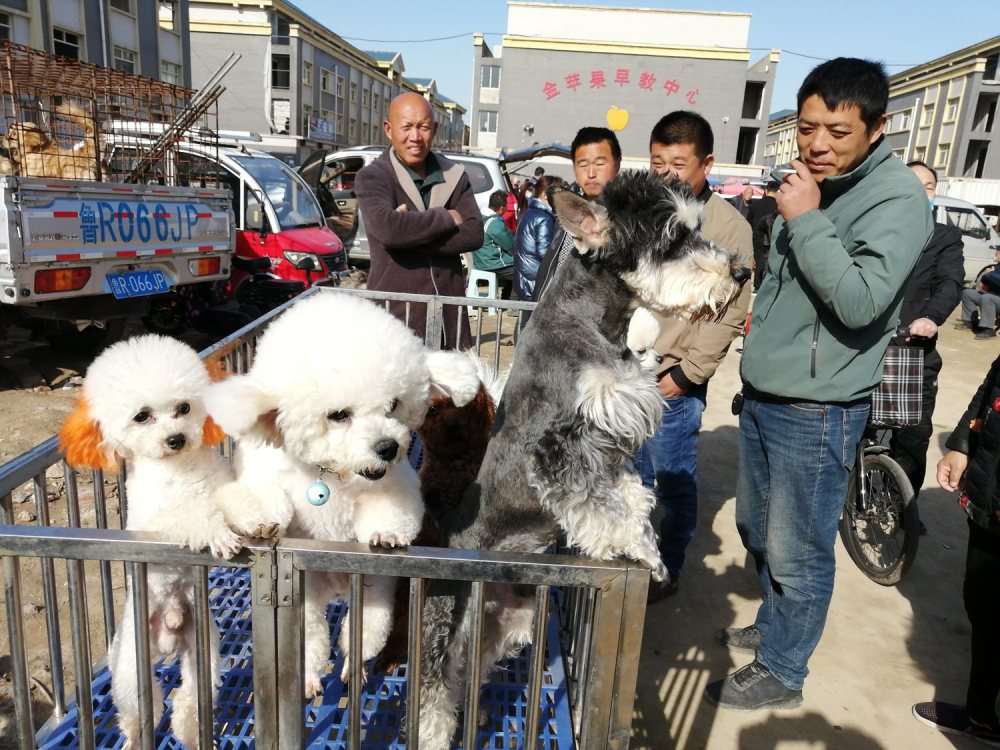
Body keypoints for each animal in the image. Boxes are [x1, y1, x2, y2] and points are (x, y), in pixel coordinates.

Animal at [58, 336, 282, 750]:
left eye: (184, 408)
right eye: (142, 416)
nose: (175, 439)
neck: (181, 471)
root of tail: (166, 638)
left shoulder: (219, 487)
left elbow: (233, 502)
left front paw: (253, 522)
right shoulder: (155, 523)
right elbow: (193, 518)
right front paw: (219, 535)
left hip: (202, 654)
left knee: (188, 701)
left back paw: (193, 736)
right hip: (130, 670)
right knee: (136, 712)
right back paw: (133, 738)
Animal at [205, 292, 482, 700]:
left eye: (393, 405)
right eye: (338, 415)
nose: (387, 447)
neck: (332, 474)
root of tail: (336, 586)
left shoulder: (395, 486)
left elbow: (391, 509)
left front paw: (387, 533)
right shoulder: (266, 475)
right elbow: (260, 497)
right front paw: (260, 522)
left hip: (374, 599)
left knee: (358, 639)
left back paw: (354, 670)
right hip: (304, 600)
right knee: (312, 642)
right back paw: (308, 678)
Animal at [416, 170, 752, 750]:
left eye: (697, 228)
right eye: (672, 239)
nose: (741, 271)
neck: (596, 325)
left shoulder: (609, 443)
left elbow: (625, 495)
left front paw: (642, 533)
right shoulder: (558, 449)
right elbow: (603, 507)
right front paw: (643, 553)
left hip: (505, 624)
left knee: (469, 679)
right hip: (447, 624)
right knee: (435, 696)